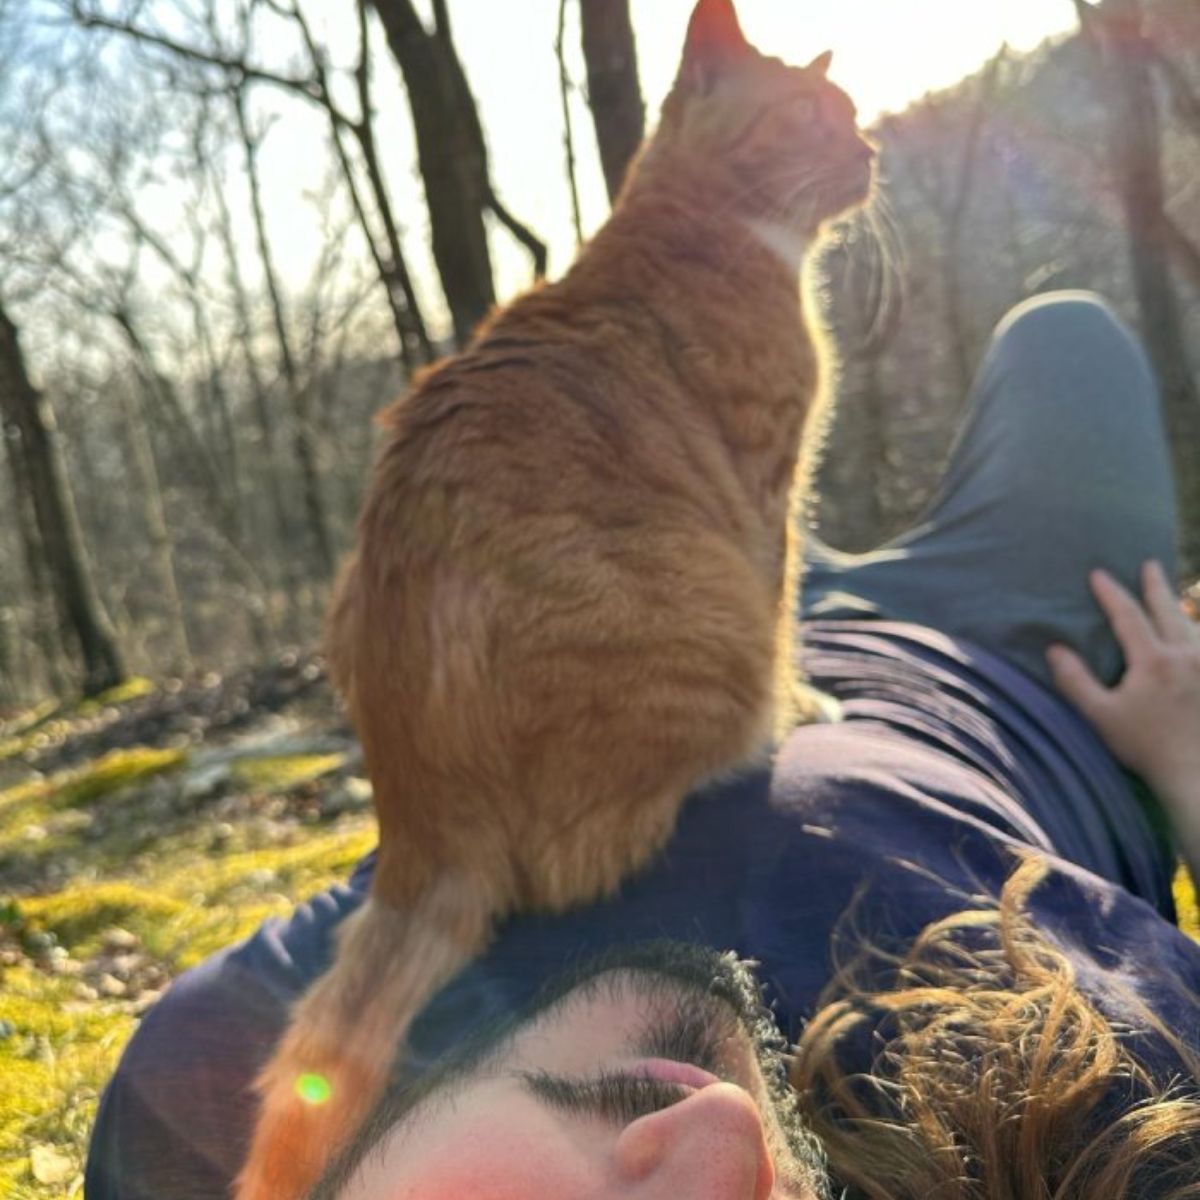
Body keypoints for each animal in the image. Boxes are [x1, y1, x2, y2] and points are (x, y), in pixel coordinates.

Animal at [234, 4, 873, 1195]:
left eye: (850, 115)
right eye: (817, 114)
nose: (870, 152)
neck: (696, 221)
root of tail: (422, 822)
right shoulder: (769, 492)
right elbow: (784, 615)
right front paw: (803, 701)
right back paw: (747, 742)